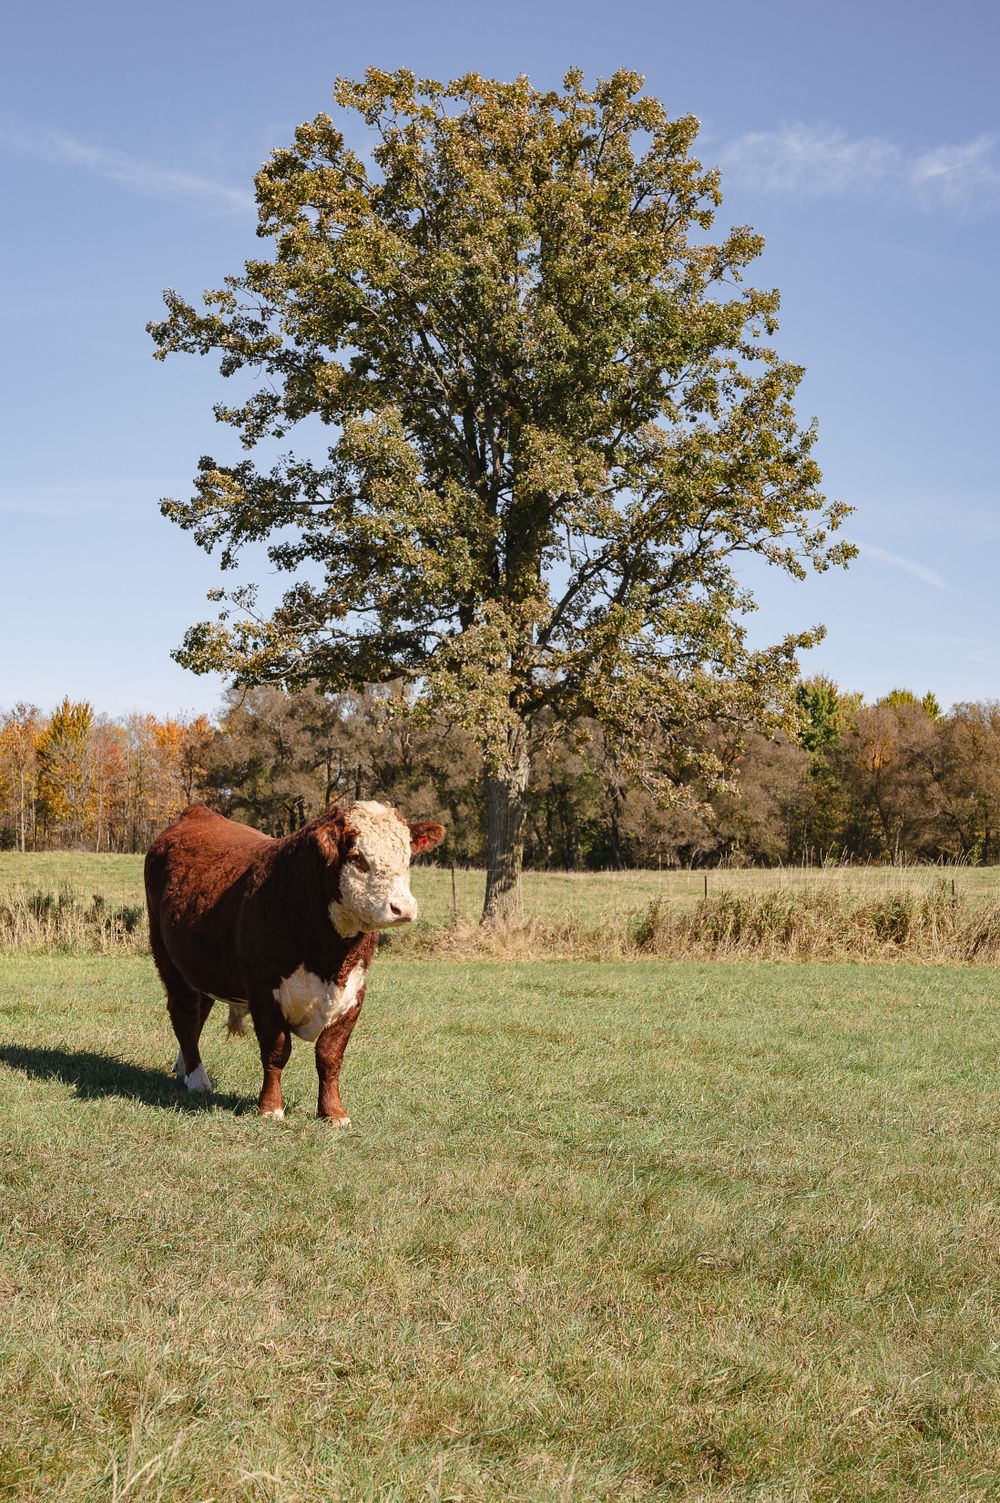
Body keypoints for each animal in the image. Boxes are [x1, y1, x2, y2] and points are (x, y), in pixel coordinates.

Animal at [144, 801, 445, 1124]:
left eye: (407, 857)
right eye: (357, 857)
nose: (403, 908)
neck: (329, 959)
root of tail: (197, 811)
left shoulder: (354, 992)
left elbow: (330, 1055)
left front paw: (334, 1112)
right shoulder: (264, 990)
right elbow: (276, 1051)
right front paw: (271, 1107)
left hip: (204, 969)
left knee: (200, 1012)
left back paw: (184, 1069)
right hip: (168, 958)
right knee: (185, 1015)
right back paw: (197, 1078)